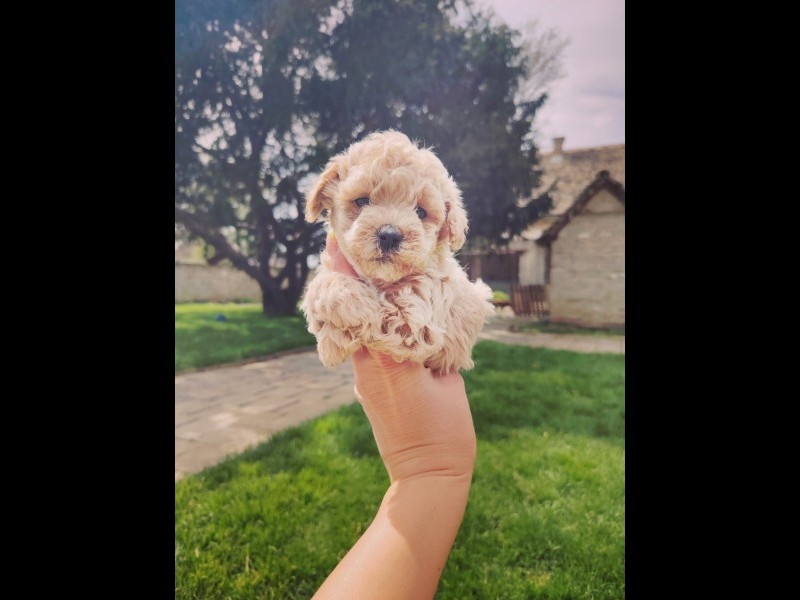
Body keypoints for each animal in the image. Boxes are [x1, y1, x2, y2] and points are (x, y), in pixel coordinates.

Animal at [301, 130, 494, 375]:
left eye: (420, 212)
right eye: (362, 201)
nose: (390, 235)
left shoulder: (417, 320)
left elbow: (379, 309)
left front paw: (347, 302)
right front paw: (331, 344)